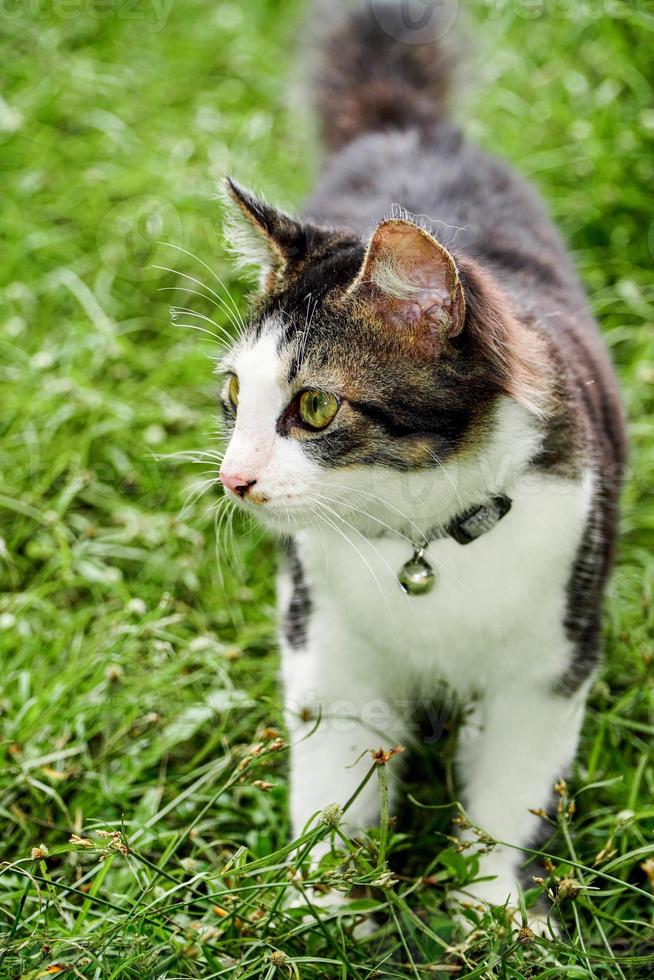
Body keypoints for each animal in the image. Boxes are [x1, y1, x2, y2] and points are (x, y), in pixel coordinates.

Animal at [214, 0, 624, 928]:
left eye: (314, 408)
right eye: (233, 393)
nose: (233, 478)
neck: (419, 530)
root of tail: (411, 129)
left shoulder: (549, 666)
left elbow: (510, 798)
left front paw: (492, 913)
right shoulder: (330, 655)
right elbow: (334, 788)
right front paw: (321, 909)